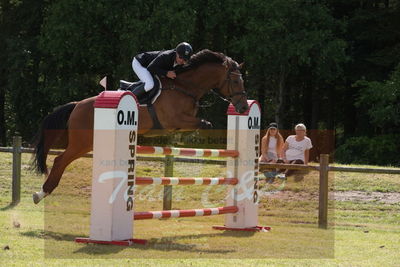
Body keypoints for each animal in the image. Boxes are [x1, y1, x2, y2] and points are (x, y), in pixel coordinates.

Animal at [31, 49, 248, 204]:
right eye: (235, 80)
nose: (244, 107)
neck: (185, 87)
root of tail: (77, 105)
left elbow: (199, 126)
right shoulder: (175, 119)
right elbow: (205, 124)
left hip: (87, 144)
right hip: (81, 143)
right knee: (60, 160)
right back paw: (41, 193)